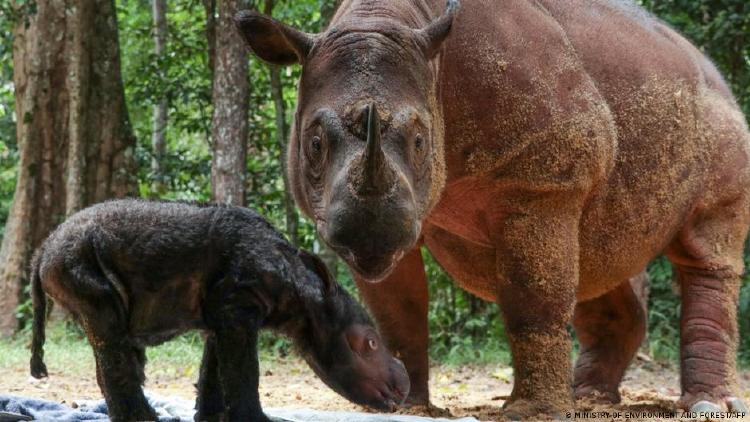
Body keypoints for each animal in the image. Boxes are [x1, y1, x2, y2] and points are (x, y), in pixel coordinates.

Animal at [27, 199, 412, 420]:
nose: (404, 387)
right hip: (76, 260)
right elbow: (243, 371)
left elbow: (214, 370)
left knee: (110, 339)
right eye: (370, 344)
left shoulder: (224, 312)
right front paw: (256, 421)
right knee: (109, 331)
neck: (303, 293)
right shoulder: (238, 305)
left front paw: (211, 419)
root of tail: (43, 248)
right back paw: (145, 419)